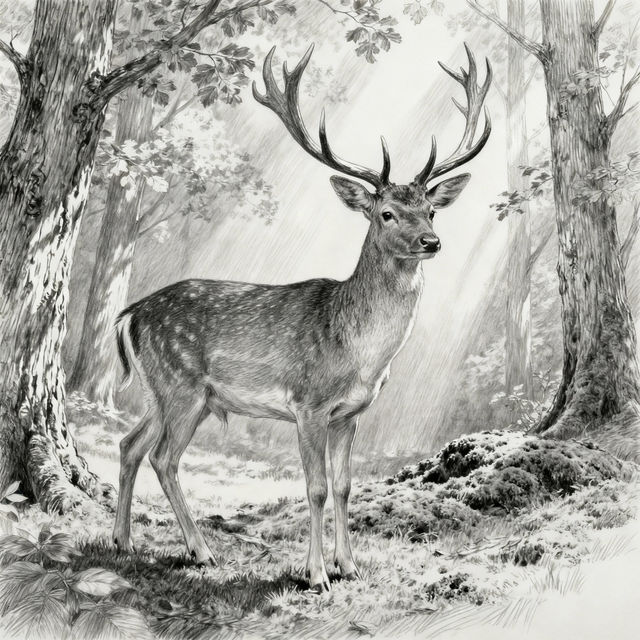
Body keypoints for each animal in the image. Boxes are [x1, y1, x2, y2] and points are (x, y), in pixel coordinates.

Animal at [112, 43, 491, 592]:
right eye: (386, 214)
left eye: (432, 211)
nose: (432, 242)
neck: (358, 352)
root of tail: (129, 314)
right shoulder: (308, 404)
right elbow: (314, 487)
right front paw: (316, 575)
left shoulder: (350, 414)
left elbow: (346, 486)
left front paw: (349, 565)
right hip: (181, 385)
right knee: (163, 457)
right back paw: (201, 551)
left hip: (165, 392)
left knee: (129, 444)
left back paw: (123, 541)